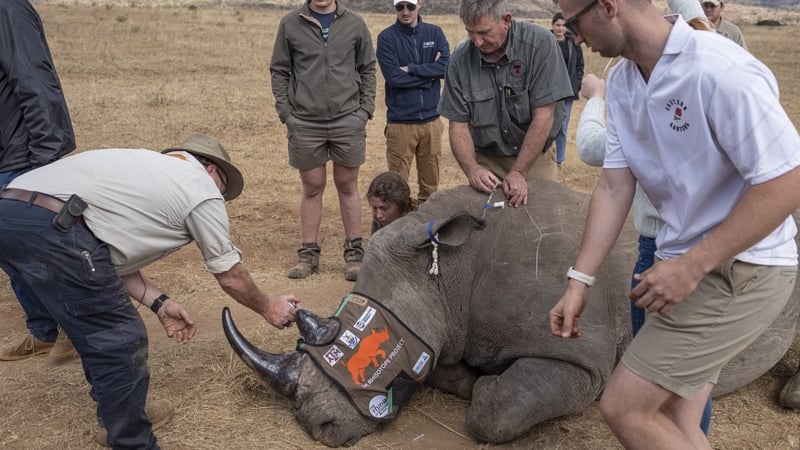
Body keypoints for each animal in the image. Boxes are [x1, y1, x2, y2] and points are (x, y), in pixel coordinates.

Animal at [223, 180, 800, 446]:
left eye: (353, 340)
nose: (316, 427)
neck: (445, 273)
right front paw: (469, 376)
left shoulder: (583, 362)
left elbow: (497, 413)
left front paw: (483, 388)